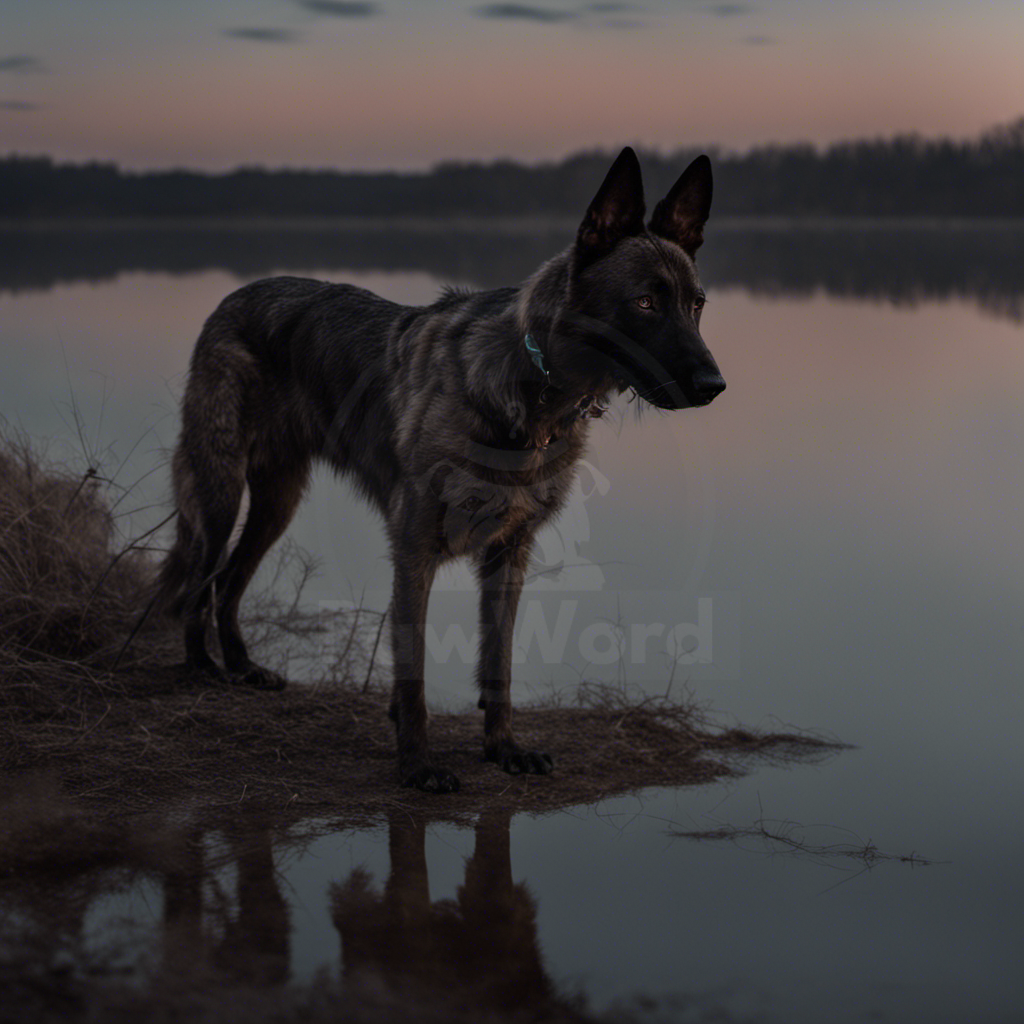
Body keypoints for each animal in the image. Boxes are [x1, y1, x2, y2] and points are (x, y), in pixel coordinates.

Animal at [153, 148, 729, 794]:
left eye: (696, 305)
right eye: (645, 303)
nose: (714, 386)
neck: (531, 388)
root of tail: (234, 297)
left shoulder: (509, 555)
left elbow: (498, 664)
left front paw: (503, 748)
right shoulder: (415, 550)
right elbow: (413, 673)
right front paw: (417, 765)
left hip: (278, 502)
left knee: (230, 582)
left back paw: (243, 665)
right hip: (222, 489)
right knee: (201, 581)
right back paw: (202, 666)